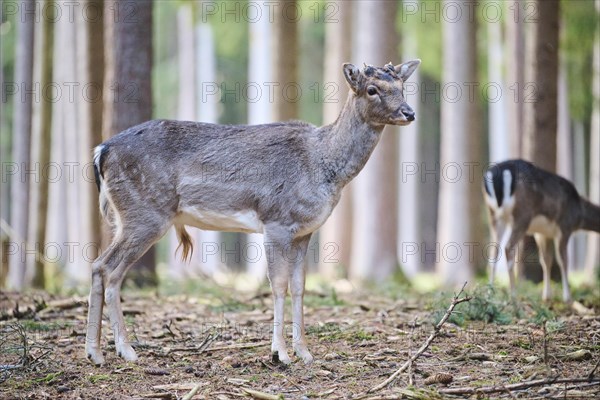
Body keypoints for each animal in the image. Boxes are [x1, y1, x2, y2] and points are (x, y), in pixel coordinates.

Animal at [85, 59, 422, 366]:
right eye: (372, 89)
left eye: (402, 86)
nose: (409, 113)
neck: (325, 167)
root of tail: (101, 151)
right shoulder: (277, 221)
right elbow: (278, 285)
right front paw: (280, 353)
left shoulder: (306, 231)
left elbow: (300, 287)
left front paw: (304, 353)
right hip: (145, 214)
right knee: (107, 267)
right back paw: (118, 351)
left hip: (127, 217)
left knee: (102, 267)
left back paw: (99, 352)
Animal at [482, 158, 600, 302]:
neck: (579, 216)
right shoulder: (564, 226)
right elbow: (563, 260)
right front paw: (567, 298)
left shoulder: (542, 233)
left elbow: (546, 260)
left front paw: (546, 296)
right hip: (522, 216)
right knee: (508, 248)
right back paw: (513, 295)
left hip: (494, 215)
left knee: (493, 251)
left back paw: (489, 295)